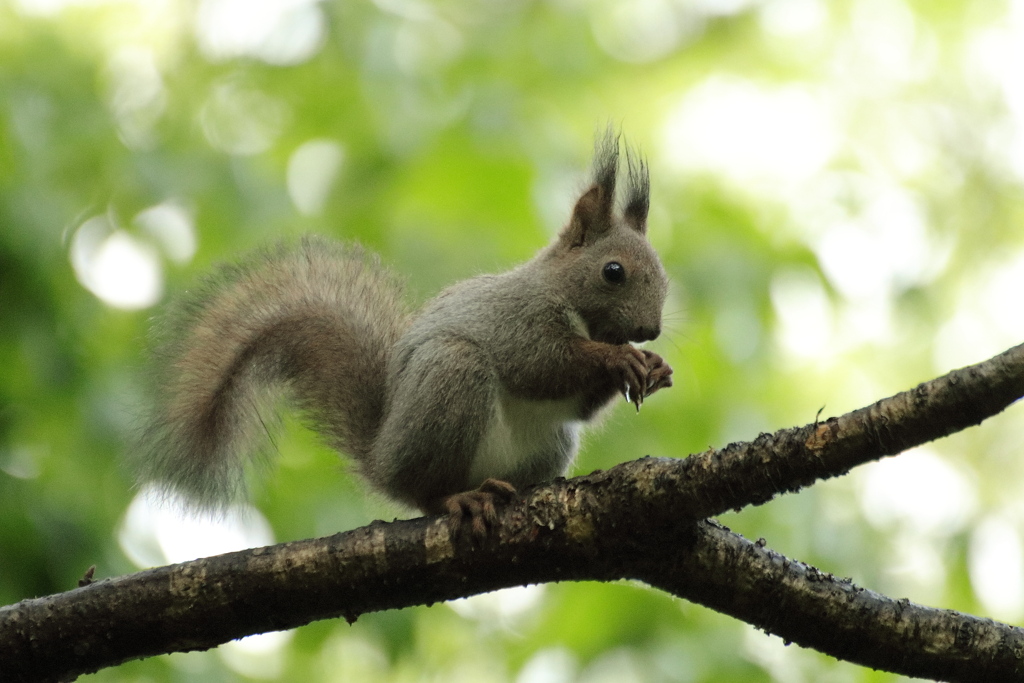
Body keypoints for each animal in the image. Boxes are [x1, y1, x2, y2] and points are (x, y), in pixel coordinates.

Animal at [138, 131, 679, 532]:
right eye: (613, 271)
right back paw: (460, 498)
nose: (649, 331)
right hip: (450, 379)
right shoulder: (516, 320)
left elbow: (580, 404)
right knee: (425, 493)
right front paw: (619, 359)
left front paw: (652, 367)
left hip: (549, 443)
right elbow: (543, 365)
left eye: (664, 276)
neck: (568, 299)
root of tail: (381, 457)